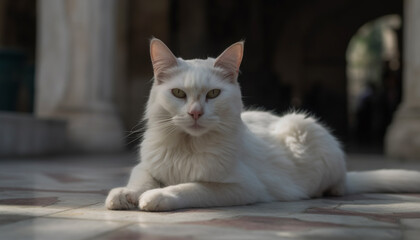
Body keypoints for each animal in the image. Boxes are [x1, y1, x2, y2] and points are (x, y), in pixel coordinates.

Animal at [106, 38, 420, 212]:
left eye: (213, 94)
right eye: (179, 94)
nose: (195, 113)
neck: (187, 147)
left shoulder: (242, 187)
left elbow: (190, 188)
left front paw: (157, 197)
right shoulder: (146, 165)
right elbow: (141, 178)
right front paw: (125, 195)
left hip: (302, 127)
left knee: (339, 185)